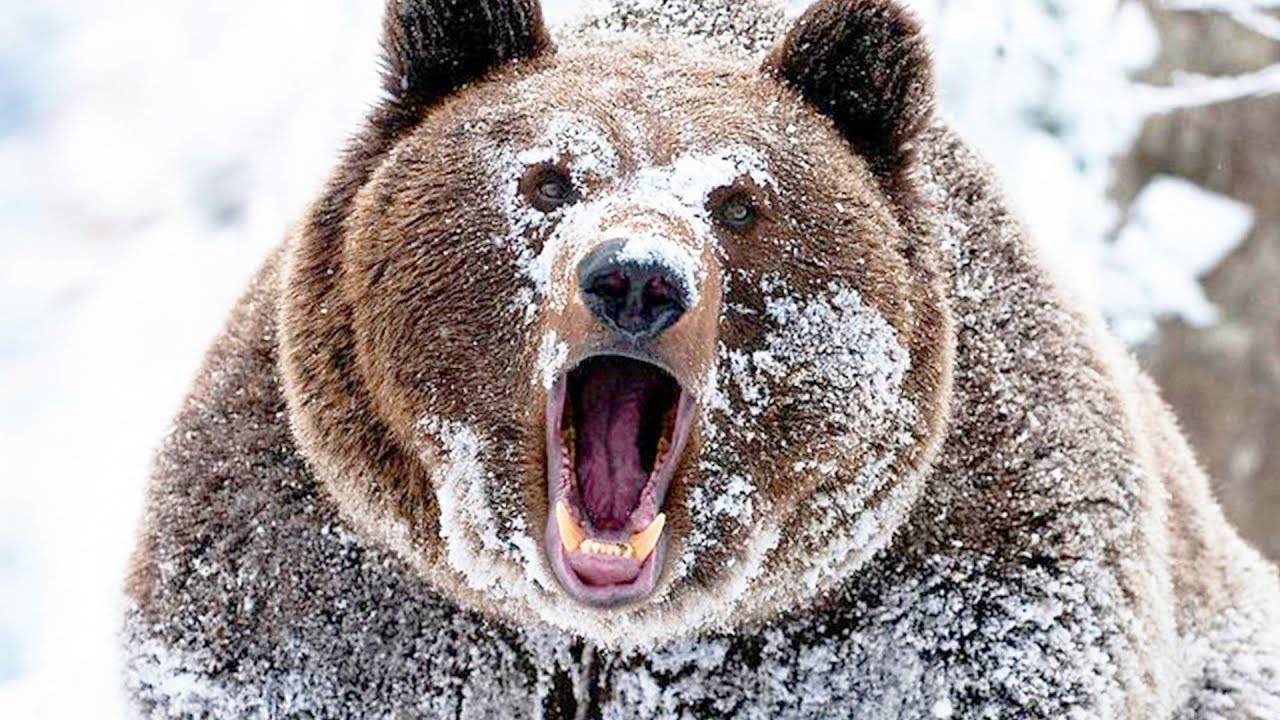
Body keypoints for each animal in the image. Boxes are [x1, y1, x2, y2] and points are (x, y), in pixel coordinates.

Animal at [122, 0, 1280, 717]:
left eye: (738, 202)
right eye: (548, 177)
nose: (636, 278)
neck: (610, 638)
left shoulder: (945, 601)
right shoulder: (331, 591)